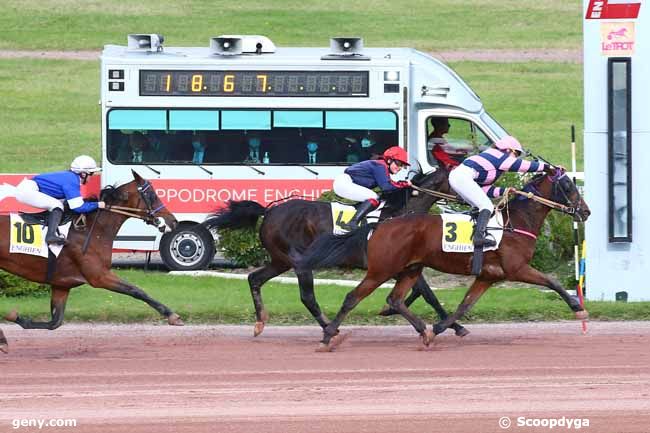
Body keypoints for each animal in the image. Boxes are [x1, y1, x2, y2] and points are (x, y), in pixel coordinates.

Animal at [1, 169, 182, 352]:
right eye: (151, 195)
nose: (173, 221)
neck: (91, 229)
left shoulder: (62, 284)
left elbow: (55, 322)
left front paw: (17, 318)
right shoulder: (99, 276)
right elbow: (136, 291)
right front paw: (172, 315)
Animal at [202, 164, 466, 336]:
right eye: (456, 182)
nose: (467, 201)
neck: (400, 213)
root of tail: (269, 211)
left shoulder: (405, 264)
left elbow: (424, 293)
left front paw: (391, 310)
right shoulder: (393, 264)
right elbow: (427, 293)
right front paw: (455, 326)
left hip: (280, 260)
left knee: (254, 279)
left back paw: (260, 322)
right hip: (299, 262)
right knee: (307, 297)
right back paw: (329, 327)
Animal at [302, 167, 588, 350]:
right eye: (567, 185)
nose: (586, 211)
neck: (516, 222)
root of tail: (380, 225)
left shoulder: (488, 276)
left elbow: (464, 304)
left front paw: (442, 327)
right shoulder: (517, 268)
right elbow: (553, 282)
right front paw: (578, 307)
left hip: (411, 269)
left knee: (395, 299)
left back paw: (423, 331)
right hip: (381, 270)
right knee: (353, 297)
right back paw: (328, 336)